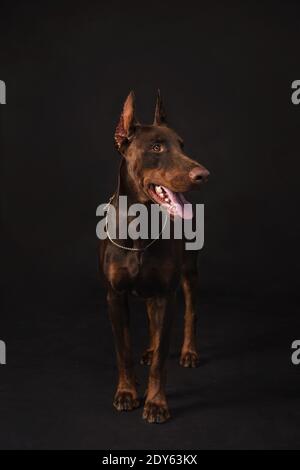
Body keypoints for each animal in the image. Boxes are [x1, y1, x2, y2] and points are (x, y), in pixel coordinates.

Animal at [99, 91, 209, 422]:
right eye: (156, 147)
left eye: (182, 145)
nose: (203, 174)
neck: (139, 227)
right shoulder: (114, 296)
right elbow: (123, 351)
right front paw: (126, 392)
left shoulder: (166, 294)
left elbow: (162, 358)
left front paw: (156, 402)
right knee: (150, 318)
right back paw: (147, 349)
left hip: (188, 273)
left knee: (190, 313)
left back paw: (188, 352)